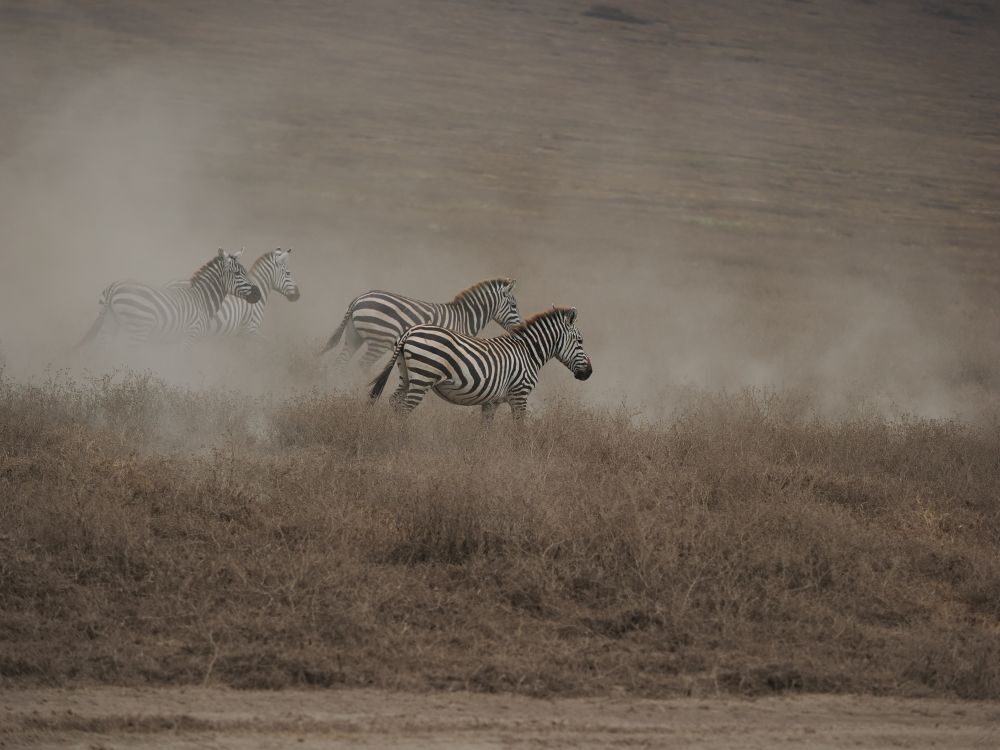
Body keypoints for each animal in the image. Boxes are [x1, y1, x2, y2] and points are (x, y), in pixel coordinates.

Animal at [76, 249, 261, 348]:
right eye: (237, 273)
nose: (258, 294)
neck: (201, 299)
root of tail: (113, 288)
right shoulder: (189, 336)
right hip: (138, 329)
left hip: (109, 325)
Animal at [318, 278, 522, 371]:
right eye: (514, 306)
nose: (519, 328)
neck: (464, 317)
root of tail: (359, 299)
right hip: (380, 340)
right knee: (362, 365)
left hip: (354, 337)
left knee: (340, 362)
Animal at [369, 305, 593, 419]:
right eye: (581, 341)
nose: (589, 372)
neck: (528, 352)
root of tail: (410, 331)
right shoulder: (519, 395)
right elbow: (520, 429)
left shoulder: (491, 402)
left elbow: (485, 432)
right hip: (423, 376)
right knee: (405, 408)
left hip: (406, 375)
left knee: (395, 401)